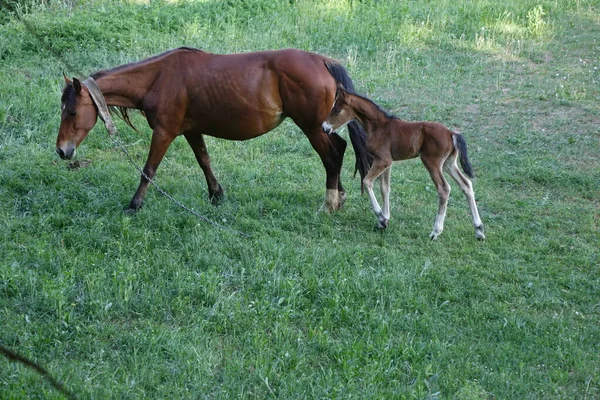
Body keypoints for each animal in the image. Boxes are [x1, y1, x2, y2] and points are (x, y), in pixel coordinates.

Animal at [322, 85, 486, 239]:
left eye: (337, 110)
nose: (324, 127)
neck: (379, 126)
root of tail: (452, 133)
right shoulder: (387, 163)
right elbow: (385, 188)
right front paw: (384, 220)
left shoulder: (382, 160)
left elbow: (367, 182)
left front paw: (381, 217)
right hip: (449, 163)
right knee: (466, 185)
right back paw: (479, 230)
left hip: (432, 162)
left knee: (444, 189)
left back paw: (436, 232)